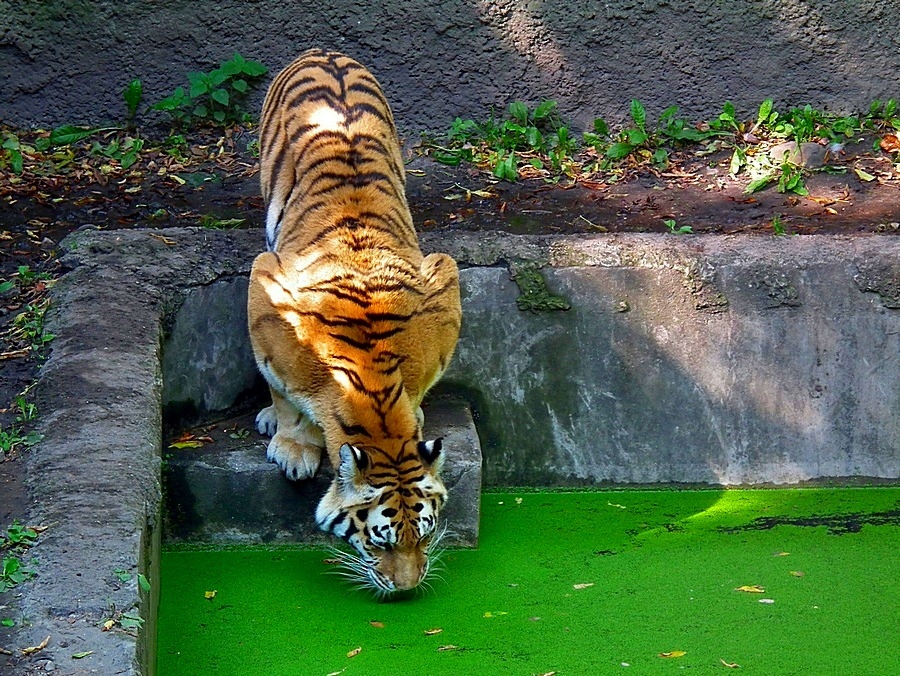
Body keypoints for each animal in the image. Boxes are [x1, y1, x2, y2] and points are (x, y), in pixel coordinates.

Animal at [248, 50, 464, 596]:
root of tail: (323, 51)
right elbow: (282, 391)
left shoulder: (442, 287)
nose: (406, 589)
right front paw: (293, 446)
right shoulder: (265, 292)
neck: (373, 389)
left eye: (423, 535)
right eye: (380, 540)